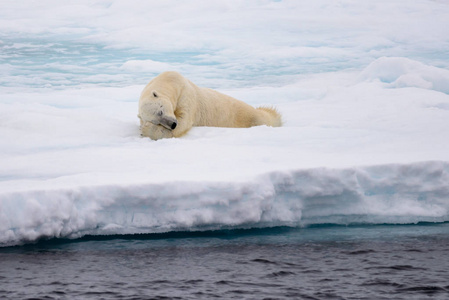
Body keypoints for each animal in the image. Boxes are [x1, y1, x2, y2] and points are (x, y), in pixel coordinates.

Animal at [138, 71, 282, 140]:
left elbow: (184, 120)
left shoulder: (185, 93)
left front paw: (146, 130)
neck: (169, 81)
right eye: (156, 120)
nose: (173, 124)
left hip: (247, 115)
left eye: (160, 111)